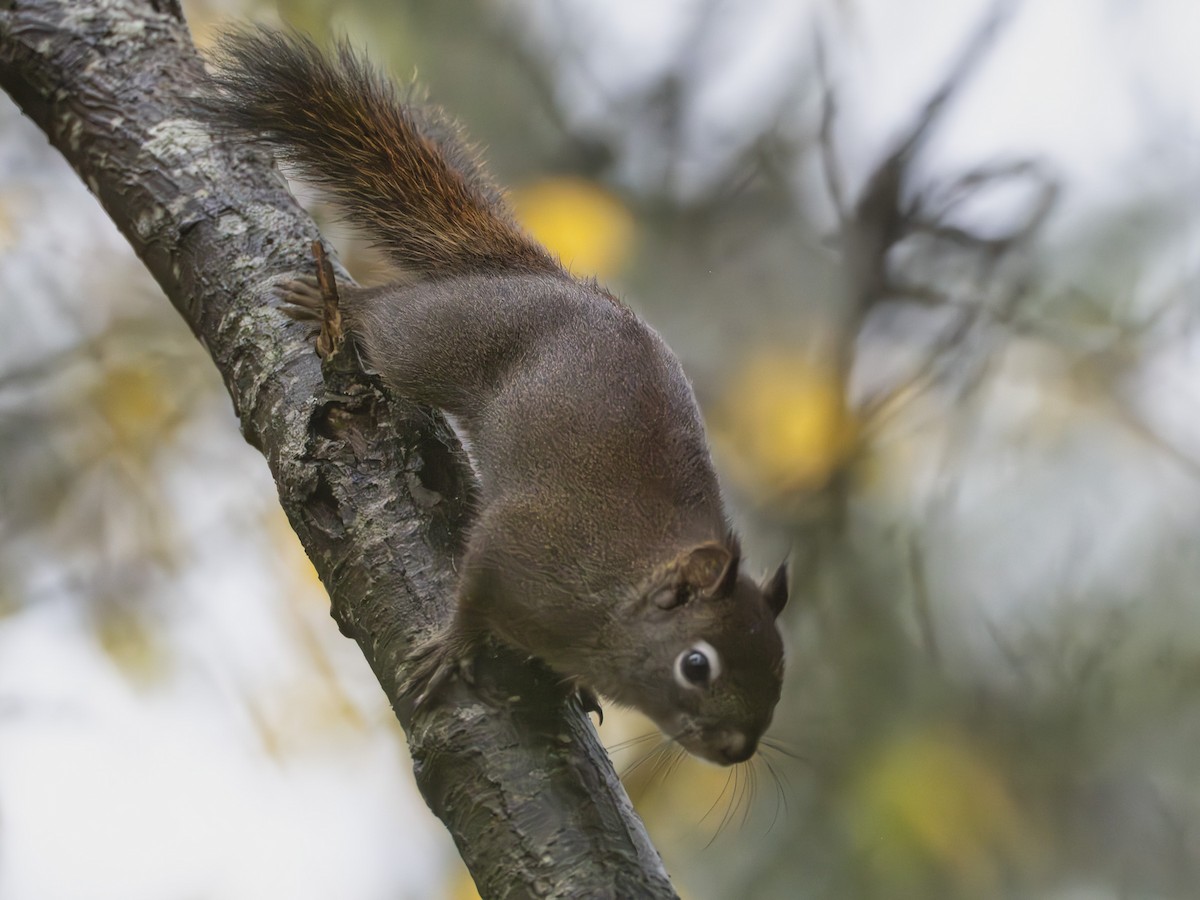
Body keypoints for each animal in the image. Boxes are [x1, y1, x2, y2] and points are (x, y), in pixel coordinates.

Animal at [204, 28, 788, 765]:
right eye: (696, 664)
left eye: (779, 671)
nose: (737, 748)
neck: (621, 596)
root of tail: (543, 280)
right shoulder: (523, 549)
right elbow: (475, 586)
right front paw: (453, 647)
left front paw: (575, 686)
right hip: (441, 341)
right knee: (389, 320)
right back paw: (343, 304)